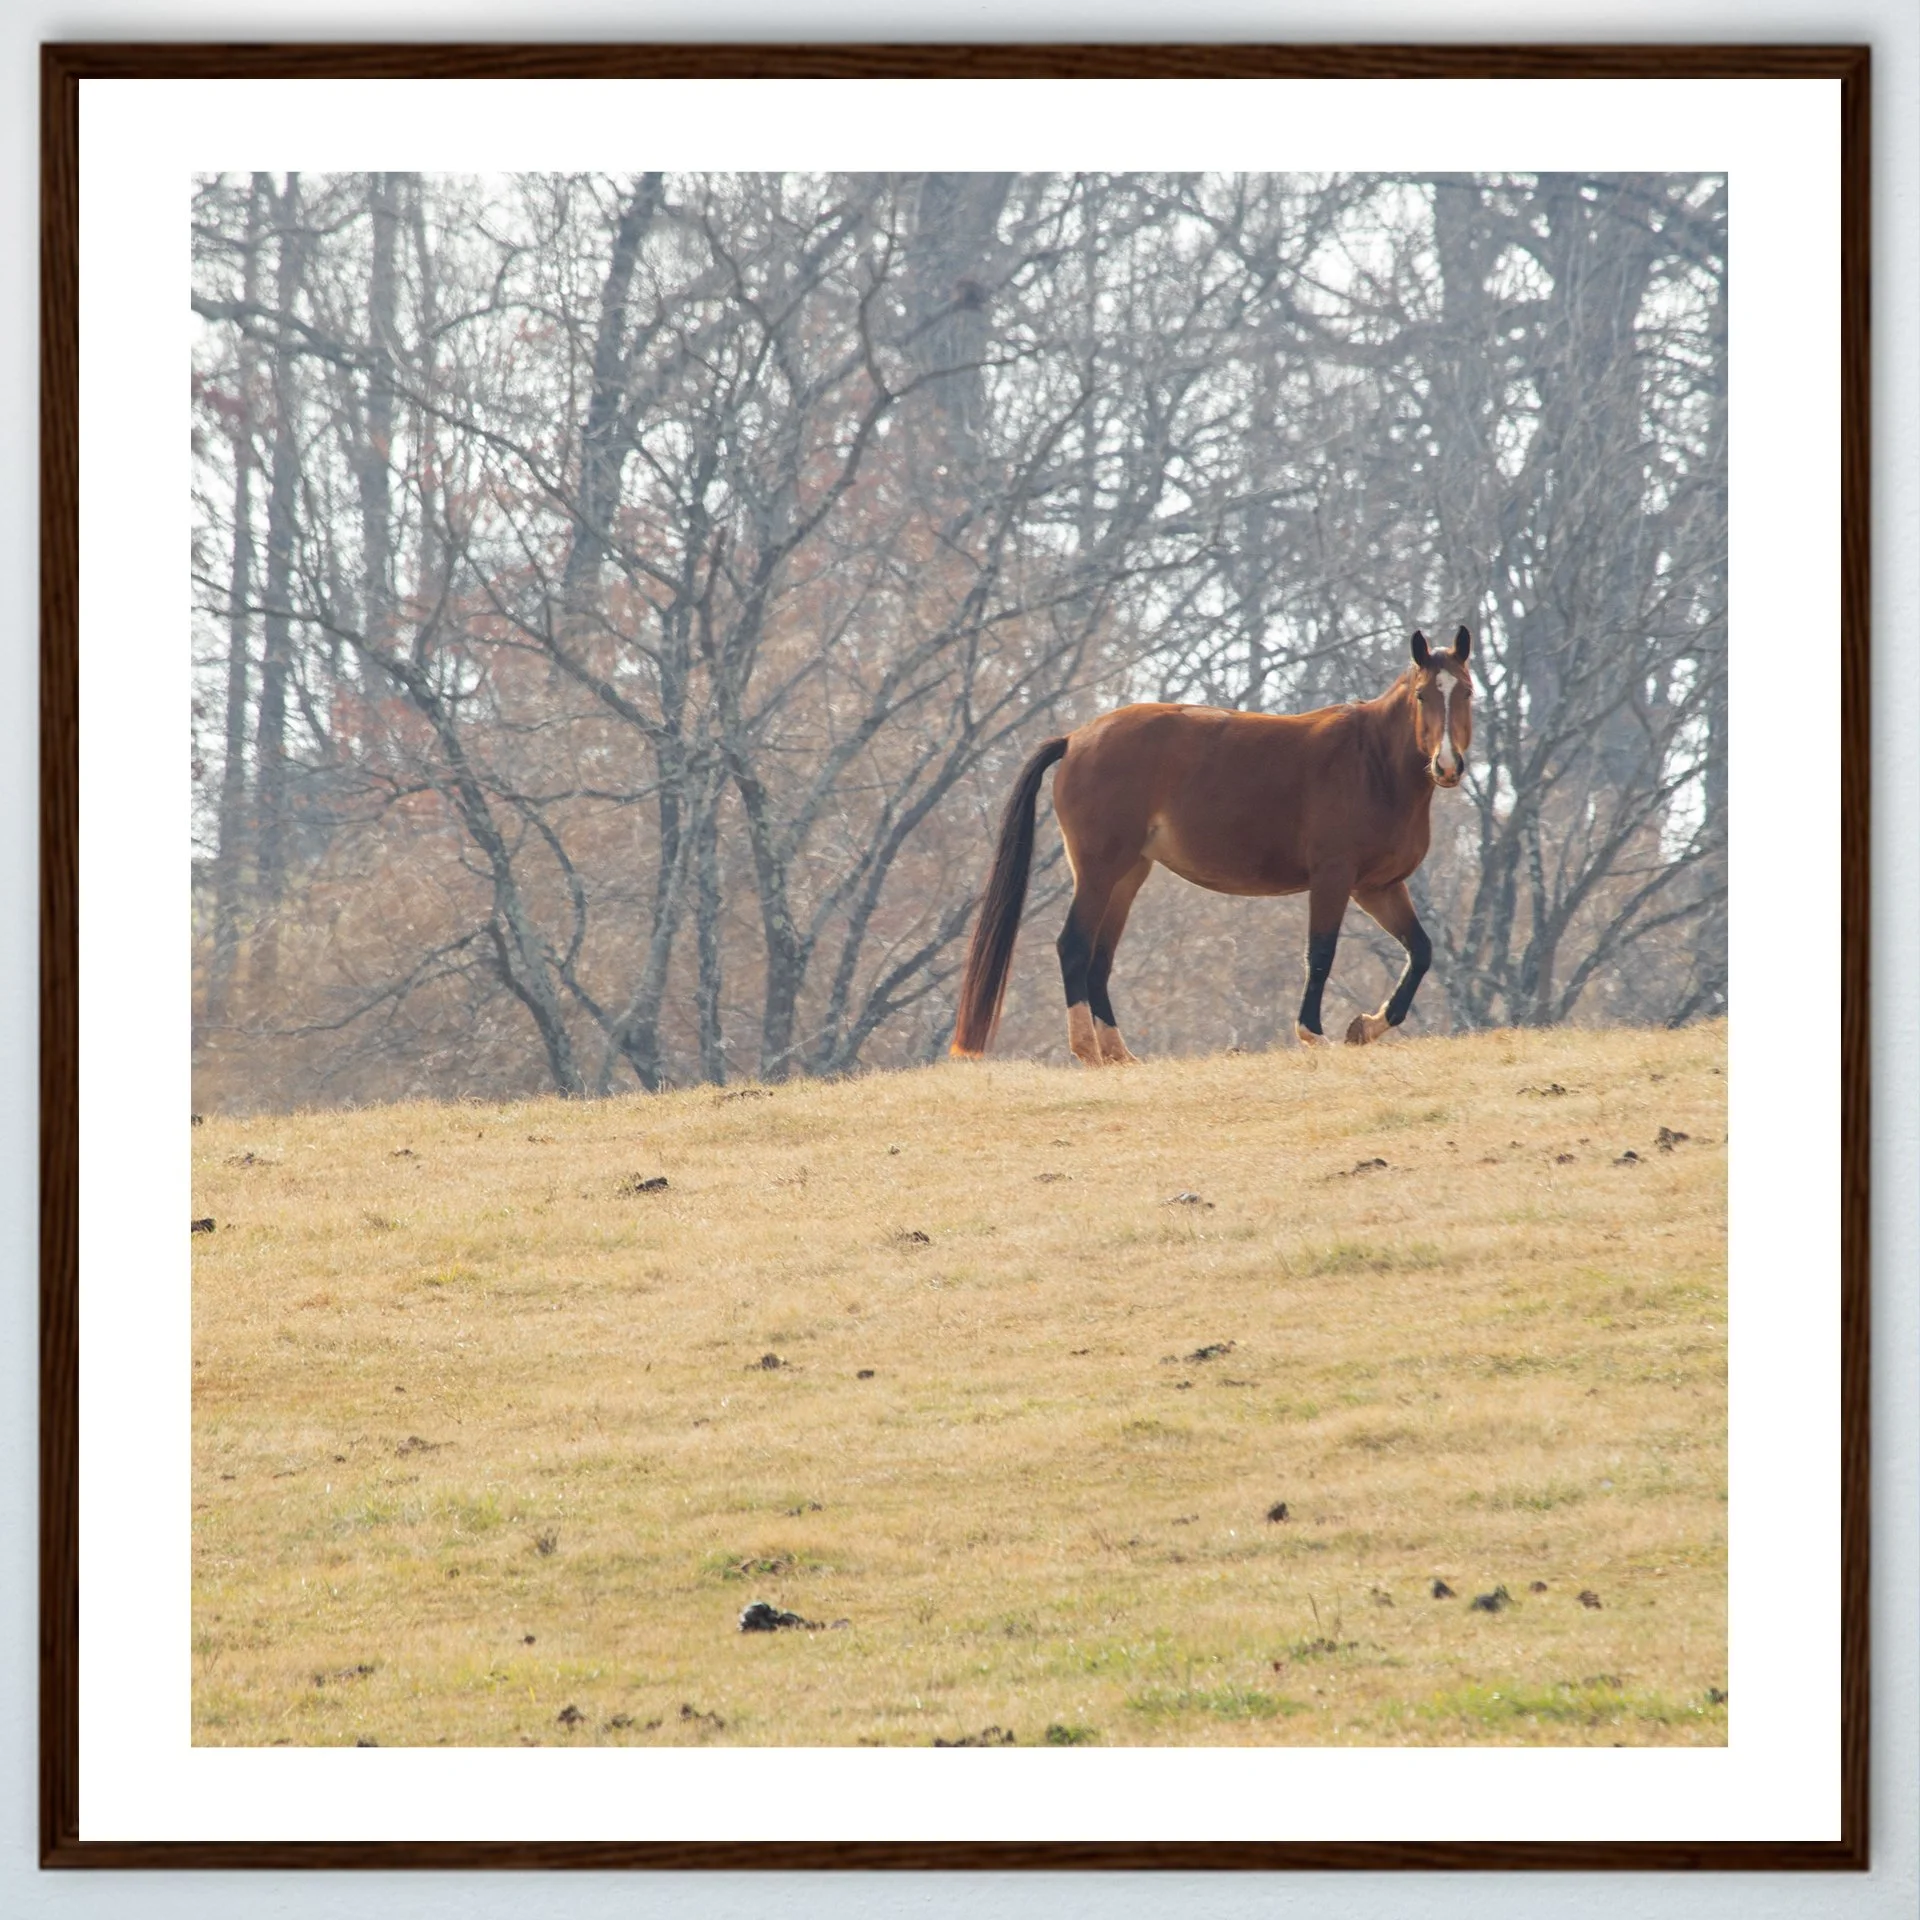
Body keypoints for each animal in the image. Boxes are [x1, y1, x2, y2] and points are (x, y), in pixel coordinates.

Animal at [949, 627, 1474, 1064]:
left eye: (1466, 692)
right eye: (1423, 694)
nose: (1448, 765)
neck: (1372, 762)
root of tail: (1076, 738)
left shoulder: (1378, 887)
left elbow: (1421, 951)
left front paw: (1365, 1026)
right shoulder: (1334, 878)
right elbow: (1321, 954)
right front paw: (1314, 1034)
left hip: (1127, 875)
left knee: (1099, 956)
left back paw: (1119, 1053)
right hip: (1099, 871)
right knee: (1074, 947)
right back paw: (1088, 1051)